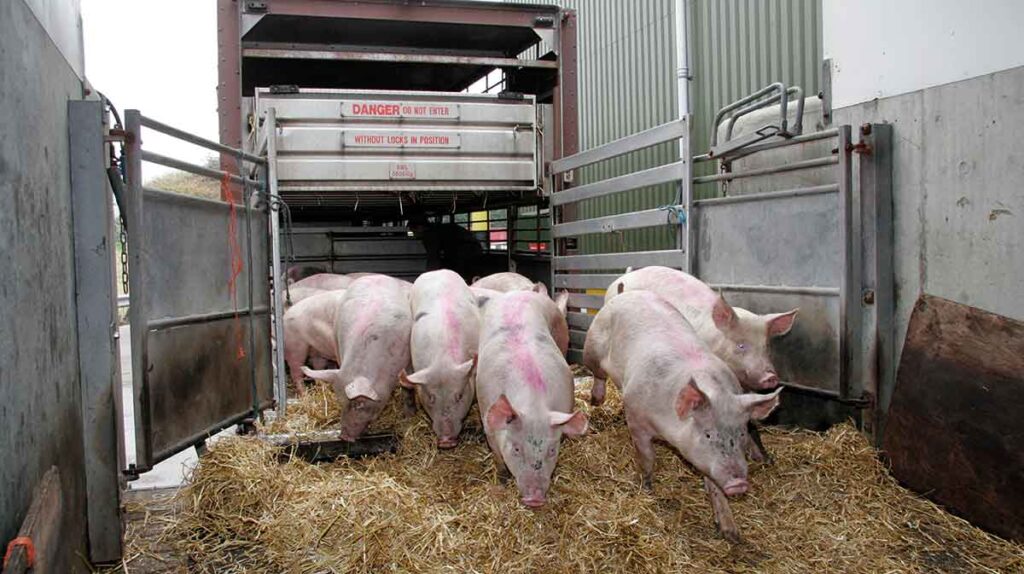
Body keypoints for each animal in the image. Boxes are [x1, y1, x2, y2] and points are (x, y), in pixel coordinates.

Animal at [475, 290, 589, 505]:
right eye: (516, 449)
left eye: (552, 450)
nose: (535, 498)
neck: (533, 404)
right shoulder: (488, 422)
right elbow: (498, 458)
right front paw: (502, 482)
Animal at [589, 290, 778, 540]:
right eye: (708, 435)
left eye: (741, 435)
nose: (738, 483)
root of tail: (628, 293)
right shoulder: (636, 417)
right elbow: (647, 457)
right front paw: (646, 487)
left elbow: (713, 485)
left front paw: (731, 533)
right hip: (592, 345)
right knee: (597, 373)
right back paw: (595, 400)